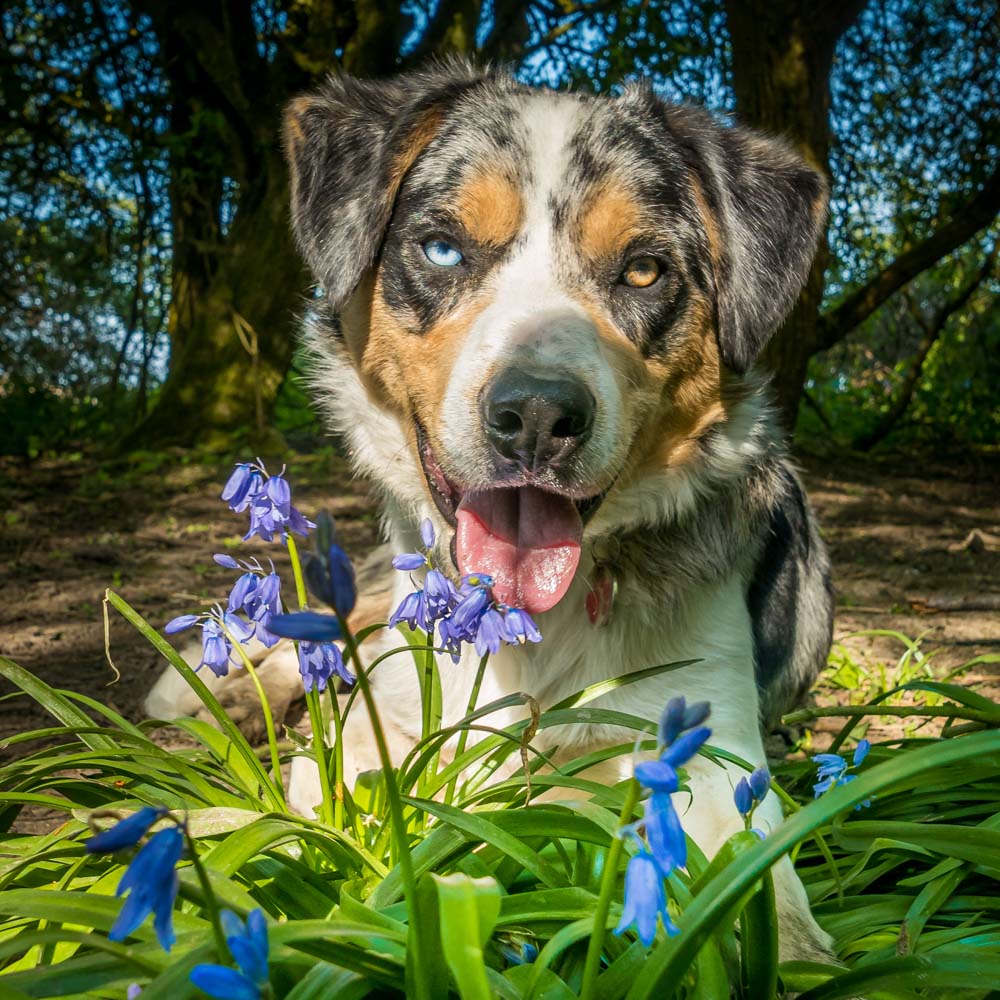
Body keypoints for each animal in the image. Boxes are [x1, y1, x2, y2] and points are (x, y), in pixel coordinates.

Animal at [148, 60, 836, 960]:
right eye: (443, 247)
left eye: (644, 270)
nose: (538, 413)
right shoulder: (390, 719)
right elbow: (332, 788)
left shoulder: (711, 738)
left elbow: (758, 884)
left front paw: (788, 950)